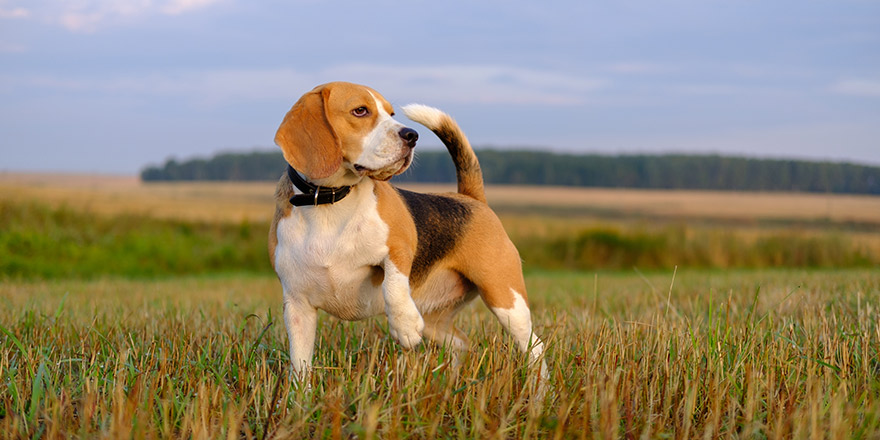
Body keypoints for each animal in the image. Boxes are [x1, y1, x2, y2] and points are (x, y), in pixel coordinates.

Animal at [268, 81, 548, 382]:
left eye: (391, 113)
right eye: (360, 111)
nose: (412, 135)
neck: (330, 202)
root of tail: (471, 198)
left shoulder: (400, 245)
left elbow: (393, 282)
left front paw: (404, 325)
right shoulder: (297, 305)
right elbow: (300, 365)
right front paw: (301, 394)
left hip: (505, 298)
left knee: (535, 346)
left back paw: (540, 387)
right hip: (436, 321)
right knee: (462, 344)